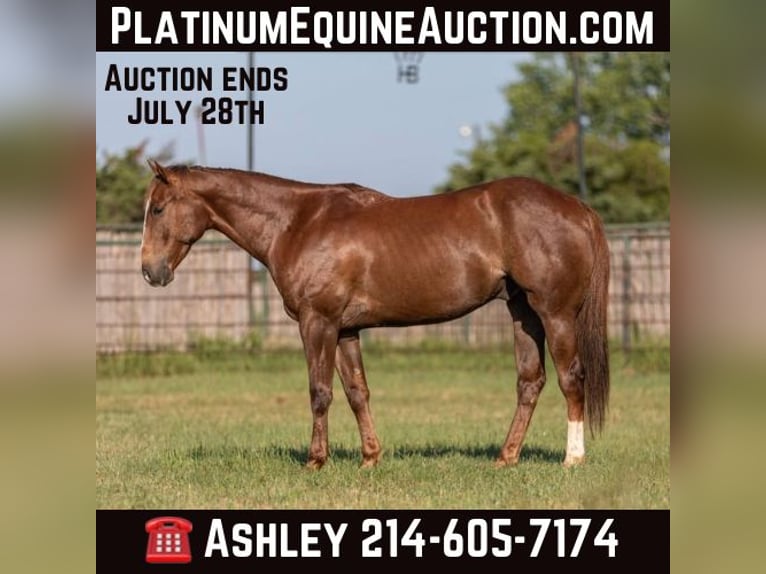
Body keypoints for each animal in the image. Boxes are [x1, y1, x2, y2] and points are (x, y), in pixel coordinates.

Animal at [140, 161, 610, 469]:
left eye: (158, 208)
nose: (150, 271)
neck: (297, 222)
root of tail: (577, 207)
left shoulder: (318, 322)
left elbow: (320, 392)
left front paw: (316, 461)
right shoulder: (346, 329)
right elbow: (356, 392)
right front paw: (370, 459)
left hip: (555, 313)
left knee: (571, 378)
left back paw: (573, 459)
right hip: (523, 313)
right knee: (530, 382)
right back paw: (505, 458)